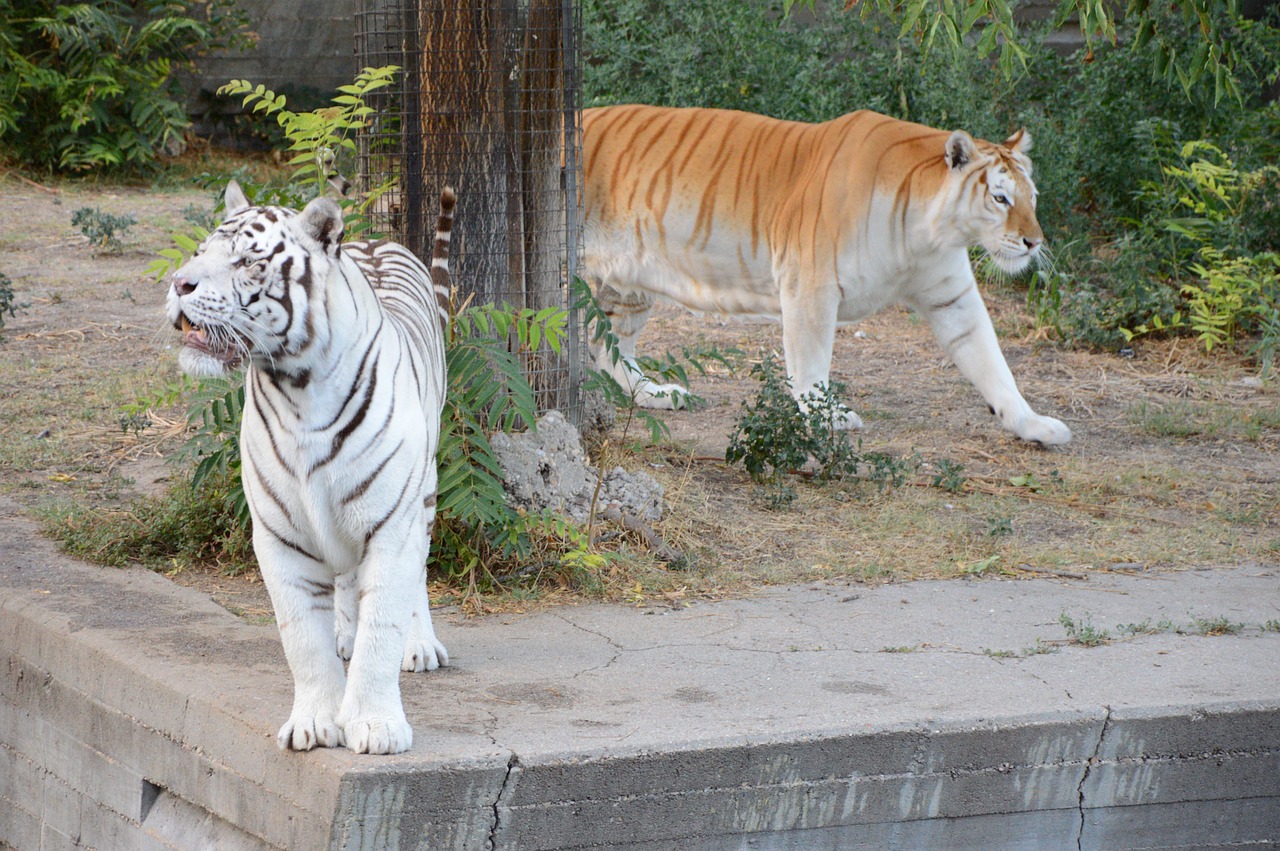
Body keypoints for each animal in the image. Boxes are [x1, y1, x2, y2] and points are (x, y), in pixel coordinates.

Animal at [165, 182, 455, 752]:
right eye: (200, 252)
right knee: (344, 582)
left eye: (248, 261)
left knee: (415, 578)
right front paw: (316, 723)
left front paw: (376, 727)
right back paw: (344, 634)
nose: (180, 283)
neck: (297, 388)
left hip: (425, 490)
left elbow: (382, 627)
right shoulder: (281, 534)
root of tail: (376, 240)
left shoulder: (392, 524)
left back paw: (420, 645)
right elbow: (302, 638)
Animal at [581, 106, 1070, 445]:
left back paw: (656, 394)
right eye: (1001, 199)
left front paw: (1034, 425)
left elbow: (992, 363)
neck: (928, 233)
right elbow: (812, 362)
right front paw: (827, 417)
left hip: (627, 287)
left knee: (609, 348)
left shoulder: (953, 297)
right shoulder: (809, 285)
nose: (1034, 242)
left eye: (1032, 197)